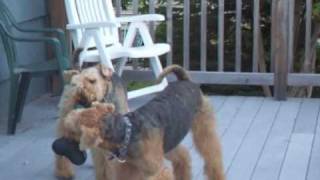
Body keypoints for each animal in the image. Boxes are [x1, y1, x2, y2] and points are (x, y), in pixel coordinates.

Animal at [60, 65, 225, 180]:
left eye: (72, 130)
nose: (58, 145)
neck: (127, 133)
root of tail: (184, 80)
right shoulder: (130, 170)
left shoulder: (157, 171)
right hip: (169, 142)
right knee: (183, 156)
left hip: (204, 130)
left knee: (213, 158)